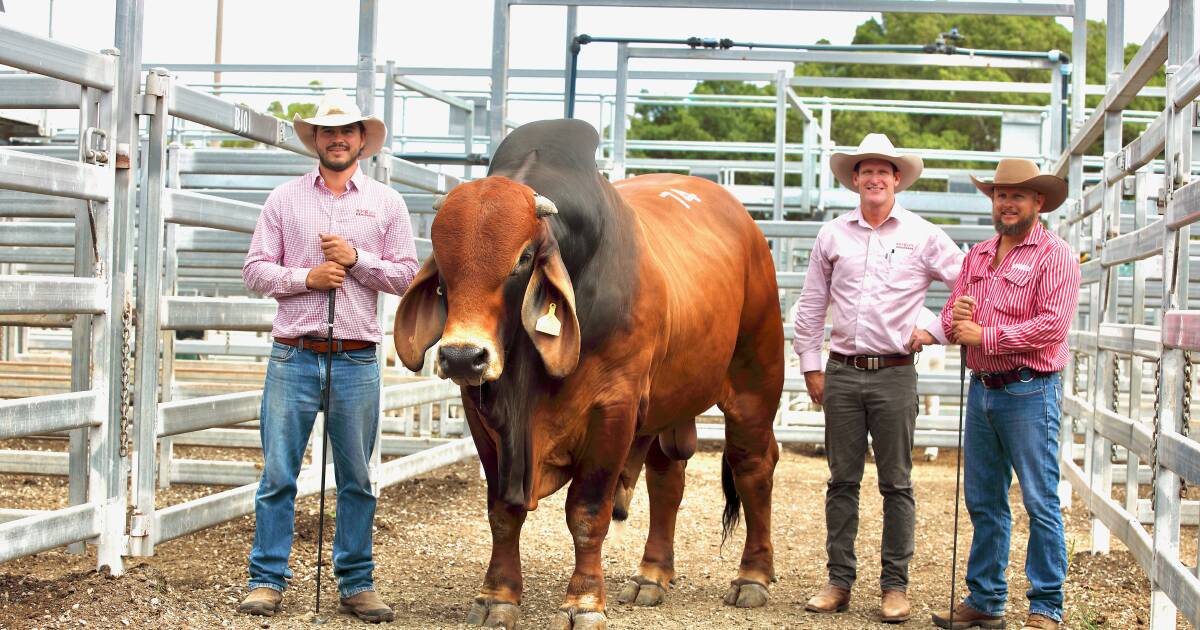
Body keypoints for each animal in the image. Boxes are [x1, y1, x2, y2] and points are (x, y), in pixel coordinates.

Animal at [398, 119, 782, 628]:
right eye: (442, 263)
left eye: (523, 258)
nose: (463, 357)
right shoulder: (482, 414)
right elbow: (502, 511)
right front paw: (497, 595)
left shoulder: (613, 407)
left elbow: (587, 512)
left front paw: (582, 602)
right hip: (666, 405)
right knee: (667, 479)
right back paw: (651, 575)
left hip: (755, 382)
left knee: (753, 465)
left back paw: (753, 577)